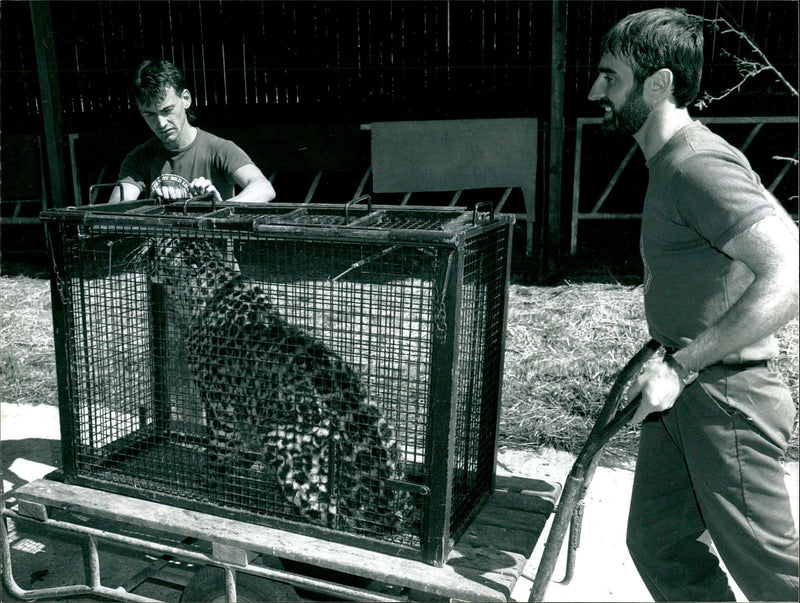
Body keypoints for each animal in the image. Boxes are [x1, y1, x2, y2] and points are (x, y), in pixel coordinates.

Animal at [146, 236, 416, 536]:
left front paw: (210, 480)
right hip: (381, 421)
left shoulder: (218, 405)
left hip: (284, 442)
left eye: (161, 245)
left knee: (339, 520)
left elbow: (219, 449)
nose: (147, 242)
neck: (214, 286)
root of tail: (393, 511)